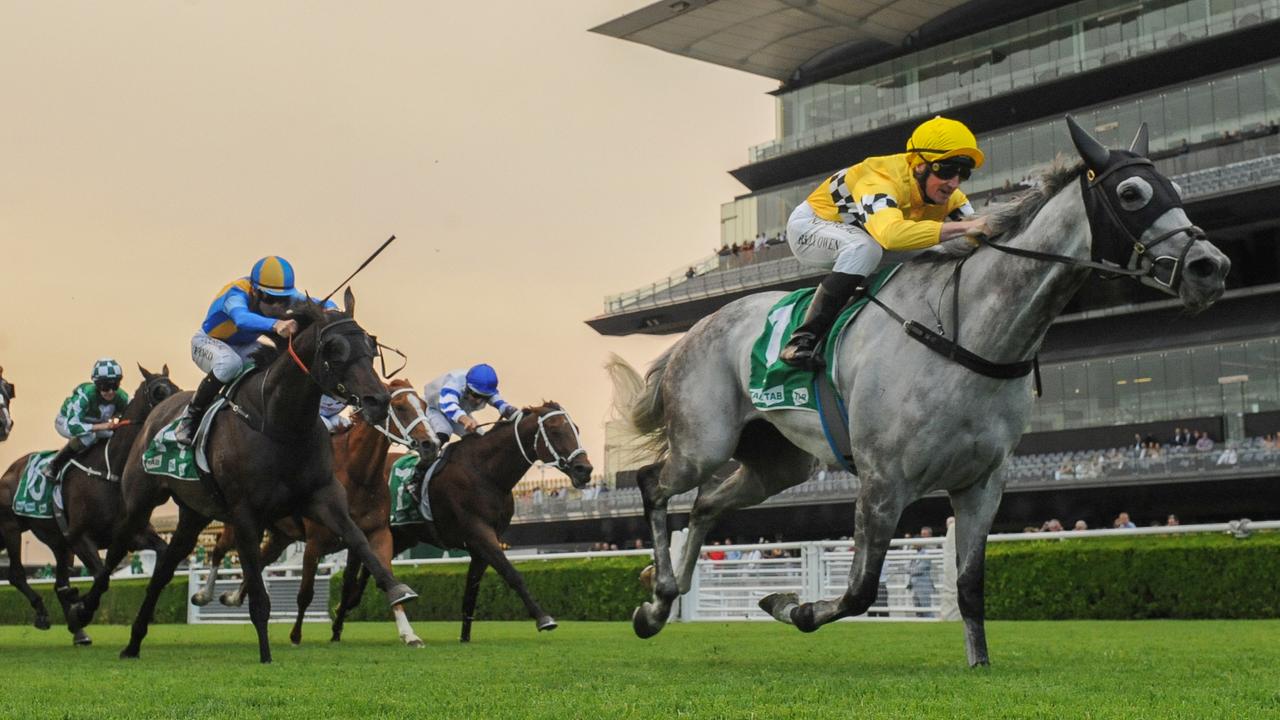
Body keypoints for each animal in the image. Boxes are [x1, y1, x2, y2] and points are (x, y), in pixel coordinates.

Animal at [0, 363, 177, 645]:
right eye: (158, 391)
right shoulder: (81, 537)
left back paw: (78, 631)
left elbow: (161, 555)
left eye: (176, 387)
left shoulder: (133, 535)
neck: (112, 471)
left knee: (58, 583)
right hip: (11, 528)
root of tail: (8, 471)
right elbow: (102, 577)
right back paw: (43, 614)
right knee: (16, 574)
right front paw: (82, 609)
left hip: (59, 544)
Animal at [70, 288, 417, 661]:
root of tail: (156, 413)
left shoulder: (323, 498)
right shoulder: (246, 513)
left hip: (194, 513)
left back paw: (134, 642)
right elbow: (258, 590)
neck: (279, 424)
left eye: (370, 345)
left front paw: (397, 590)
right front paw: (265, 655)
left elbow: (360, 542)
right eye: (333, 349)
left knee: (163, 570)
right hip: (141, 501)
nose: (377, 400)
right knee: (116, 553)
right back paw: (84, 610)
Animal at [192, 376, 442, 645]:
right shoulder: (314, 543)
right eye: (400, 407)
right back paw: (203, 594)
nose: (431, 444)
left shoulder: (378, 534)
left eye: (424, 405)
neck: (358, 477)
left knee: (259, 562)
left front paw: (409, 633)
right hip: (239, 523)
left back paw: (233, 597)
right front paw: (295, 634)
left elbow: (380, 576)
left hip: (281, 536)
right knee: (220, 550)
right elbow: (305, 593)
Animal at [327, 399, 591, 640]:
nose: (584, 470)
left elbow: (471, 592)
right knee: (350, 580)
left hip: (401, 537)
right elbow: (511, 573)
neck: (486, 474)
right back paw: (337, 627)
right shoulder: (480, 533)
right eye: (555, 430)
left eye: (577, 429)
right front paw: (543, 618)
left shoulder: (482, 544)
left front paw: (465, 637)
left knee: (369, 572)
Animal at [609, 117, 1228, 661]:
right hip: (705, 441)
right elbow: (859, 591)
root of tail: (695, 330)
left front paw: (979, 665)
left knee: (706, 504)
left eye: (1175, 186)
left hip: (778, 465)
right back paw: (658, 594)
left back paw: (661, 598)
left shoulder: (982, 484)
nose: (1211, 266)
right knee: (656, 485)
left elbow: (971, 586)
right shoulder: (884, 481)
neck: (967, 336)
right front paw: (793, 606)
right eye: (1131, 192)